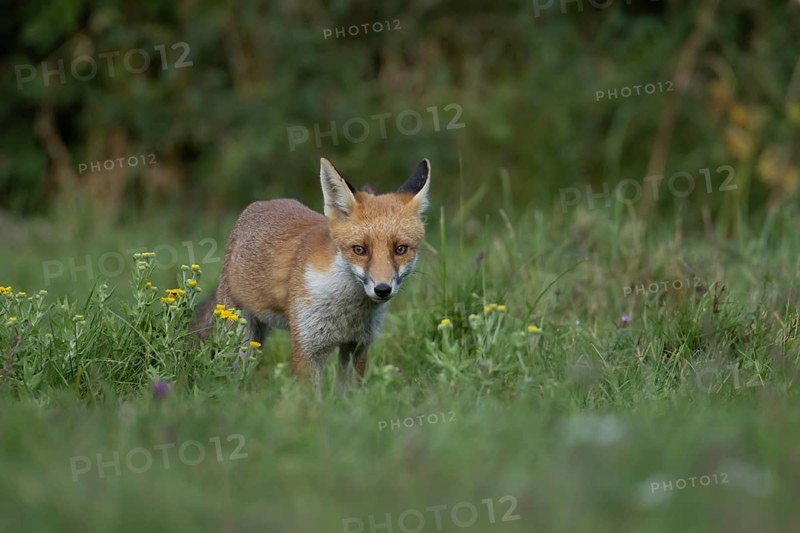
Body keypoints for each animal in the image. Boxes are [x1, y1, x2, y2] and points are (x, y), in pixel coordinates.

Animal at [190, 158, 431, 389]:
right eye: (359, 250)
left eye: (400, 249)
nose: (382, 289)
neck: (348, 313)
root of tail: (259, 205)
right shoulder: (307, 348)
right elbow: (311, 399)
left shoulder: (357, 345)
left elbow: (348, 395)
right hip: (242, 338)